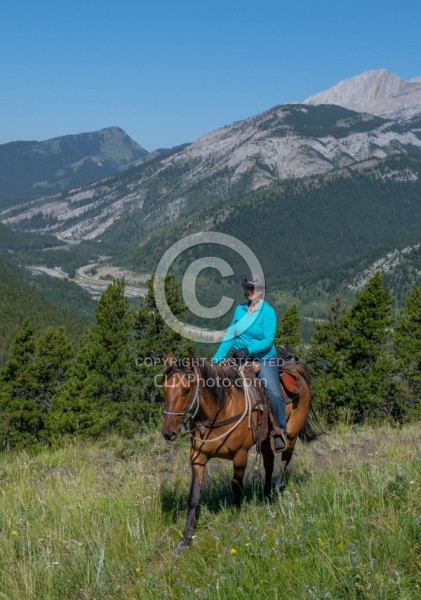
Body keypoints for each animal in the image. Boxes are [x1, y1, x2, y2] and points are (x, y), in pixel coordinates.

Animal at [161, 352, 322, 544]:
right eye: (164, 389)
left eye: (186, 390)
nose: (168, 432)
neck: (220, 410)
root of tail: (296, 370)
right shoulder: (198, 458)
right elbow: (194, 496)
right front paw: (187, 537)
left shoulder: (240, 456)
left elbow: (236, 486)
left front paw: (236, 517)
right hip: (264, 437)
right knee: (269, 462)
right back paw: (267, 496)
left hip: (291, 432)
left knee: (285, 457)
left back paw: (277, 488)